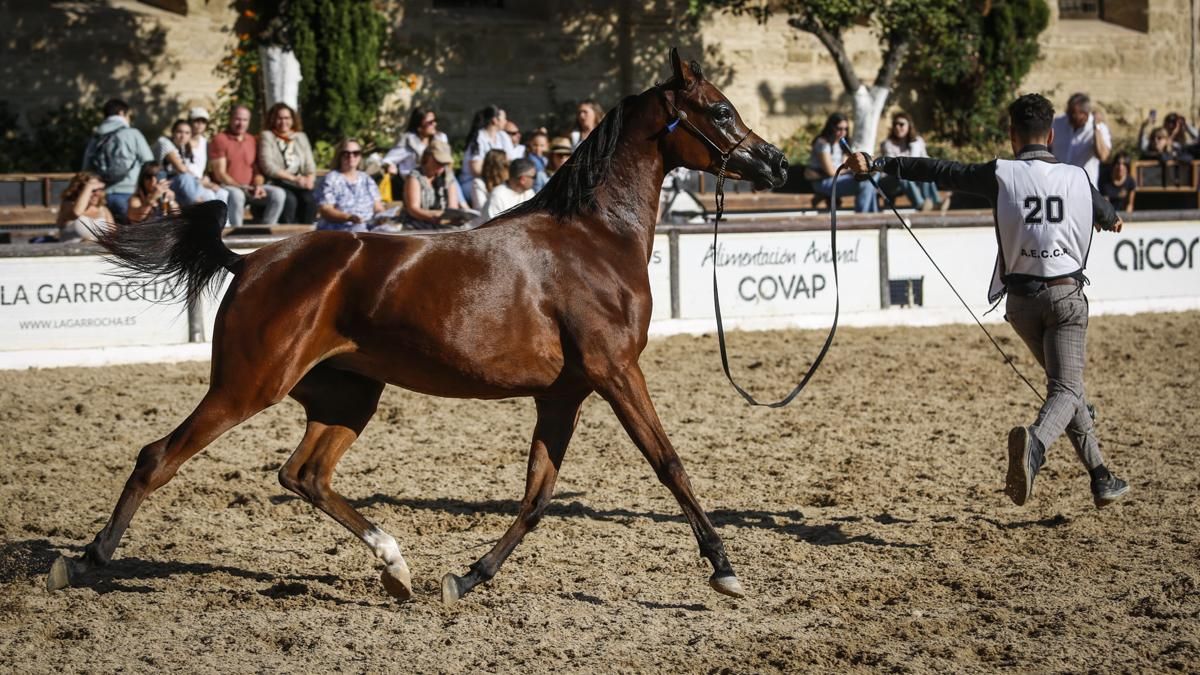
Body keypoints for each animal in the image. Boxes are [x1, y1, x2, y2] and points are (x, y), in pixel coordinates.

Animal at [47, 48, 788, 605]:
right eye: (719, 110)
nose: (777, 163)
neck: (592, 240)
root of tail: (253, 259)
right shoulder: (615, 373)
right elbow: (669, 464)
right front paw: (725, 569)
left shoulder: (564, 393)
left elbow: (537, 496)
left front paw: (467, 577)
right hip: (245, 386)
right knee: (158, 457)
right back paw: (83, 560)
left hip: (348, 394)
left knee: (304, 474)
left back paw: (395, 564)